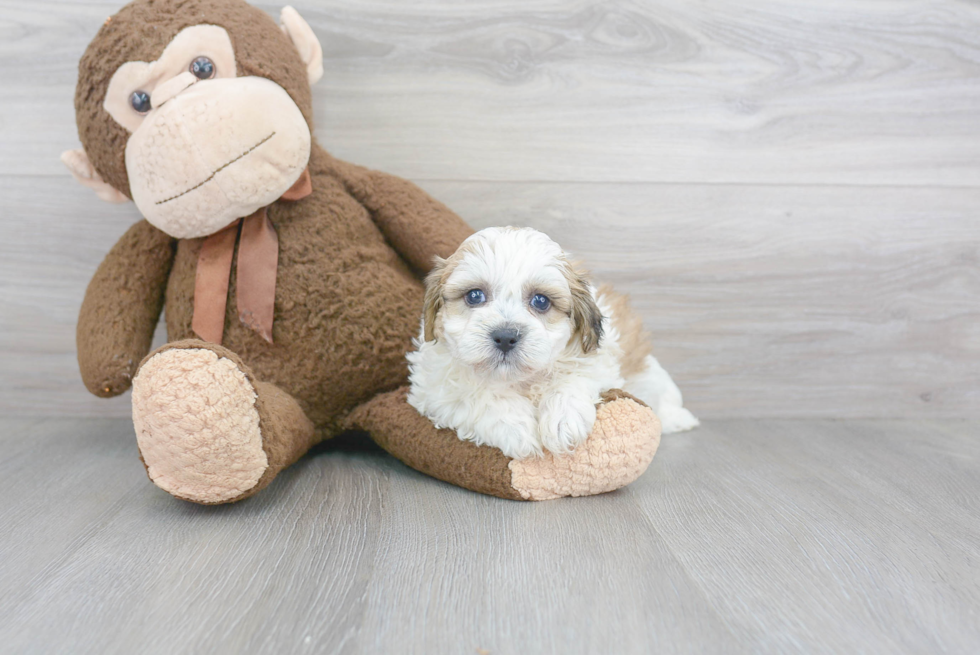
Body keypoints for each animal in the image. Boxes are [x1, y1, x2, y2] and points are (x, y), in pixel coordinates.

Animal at [406, 228, 696, 458]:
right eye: (474, 296)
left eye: (541, 301)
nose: (505, 336)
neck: (520, 381)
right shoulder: (435, 389)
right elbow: (474, 395)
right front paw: (517, 428)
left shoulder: (598, 360)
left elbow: (575, 375)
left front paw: (563, 420)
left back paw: (678, 419)